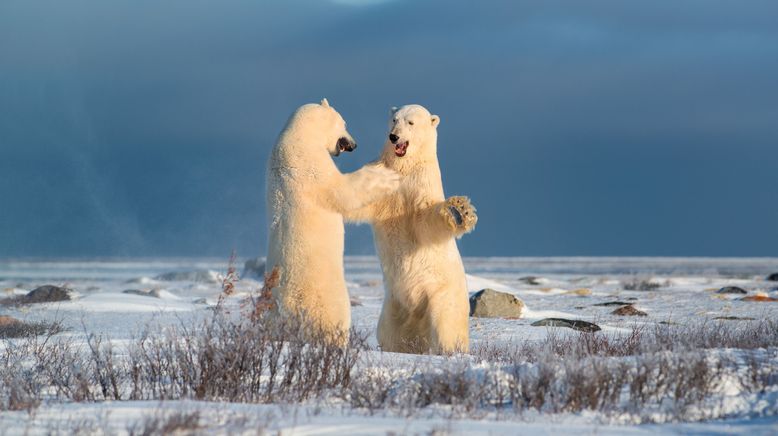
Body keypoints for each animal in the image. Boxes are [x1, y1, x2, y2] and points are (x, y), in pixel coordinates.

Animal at [266, 99, 400, 344]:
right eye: (344, 123)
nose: (354, 144)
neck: (299, 136)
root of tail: (289, 309)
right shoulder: (310, 165)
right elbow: (344, 191)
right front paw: (386, 175)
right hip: (328, 296)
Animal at [344, 104, 472, 354]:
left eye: (411, 122)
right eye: (394, 119)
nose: (394, 136)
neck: (404, 166)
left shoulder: (421, 184)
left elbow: (425, 221)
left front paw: (458, 210)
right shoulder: (386, 179)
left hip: (441, 295)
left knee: (445, 327)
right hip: (393, 306)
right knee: (390, 334)